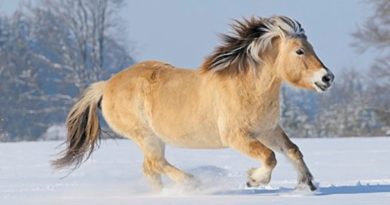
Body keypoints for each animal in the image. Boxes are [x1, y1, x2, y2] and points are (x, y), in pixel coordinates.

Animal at [52, 15, 336, 191]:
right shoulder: (238, 137)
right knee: (155, 164)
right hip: (146, 136)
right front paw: (253, 180)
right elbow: (270, 157)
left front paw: (307, 185)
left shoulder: (268, 130)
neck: (247, 88)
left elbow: (292, 151)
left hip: (153, 139)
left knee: (150, 168)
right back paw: (193, 183)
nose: (327, 77)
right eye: (299, 51)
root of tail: (106, 85)